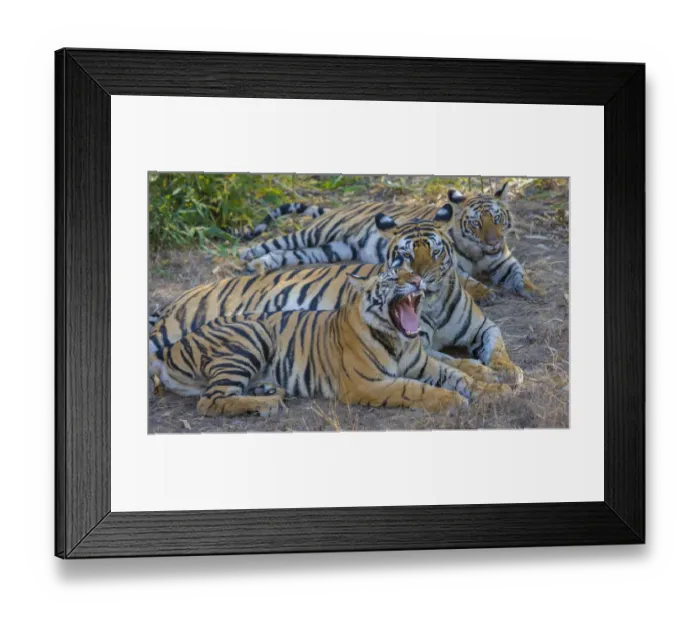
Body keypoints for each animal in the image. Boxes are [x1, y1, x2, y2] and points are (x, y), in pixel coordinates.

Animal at [149, 269, 490, 417]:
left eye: (412, 272)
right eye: (394, 277)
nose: (418, 280)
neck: (399, 340)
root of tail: (168, 350)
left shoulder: (425, 363)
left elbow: (457, 373)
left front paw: (487, 389)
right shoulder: (367, 384)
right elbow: (414, 388)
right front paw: (453, 400)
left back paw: (269, 391)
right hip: (250, 336)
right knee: (211, 401)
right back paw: (268, 404)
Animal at [150, 205, 523, 387]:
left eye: (434, 252)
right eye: (404, 256)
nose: (420, 279)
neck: (433, 303)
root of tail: (178, 298)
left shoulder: (484, 327)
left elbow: (499, 347)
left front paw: (509, 371)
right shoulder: (419, 344)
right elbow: (455, 360)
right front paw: (483, 372)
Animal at [238, 183, 540, 299]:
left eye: (497, 218)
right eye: (476, 223)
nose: (493, 242)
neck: (478, 253)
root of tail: (342, 207)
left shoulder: (504, 261)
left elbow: (520, 273)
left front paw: (532, 290)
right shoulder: (453, 267)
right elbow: (469, 281)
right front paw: (485, 293)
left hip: (330, 250)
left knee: (287, 255)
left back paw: (259, 264)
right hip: (317, 233)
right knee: (278, 241)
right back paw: (247, 254)